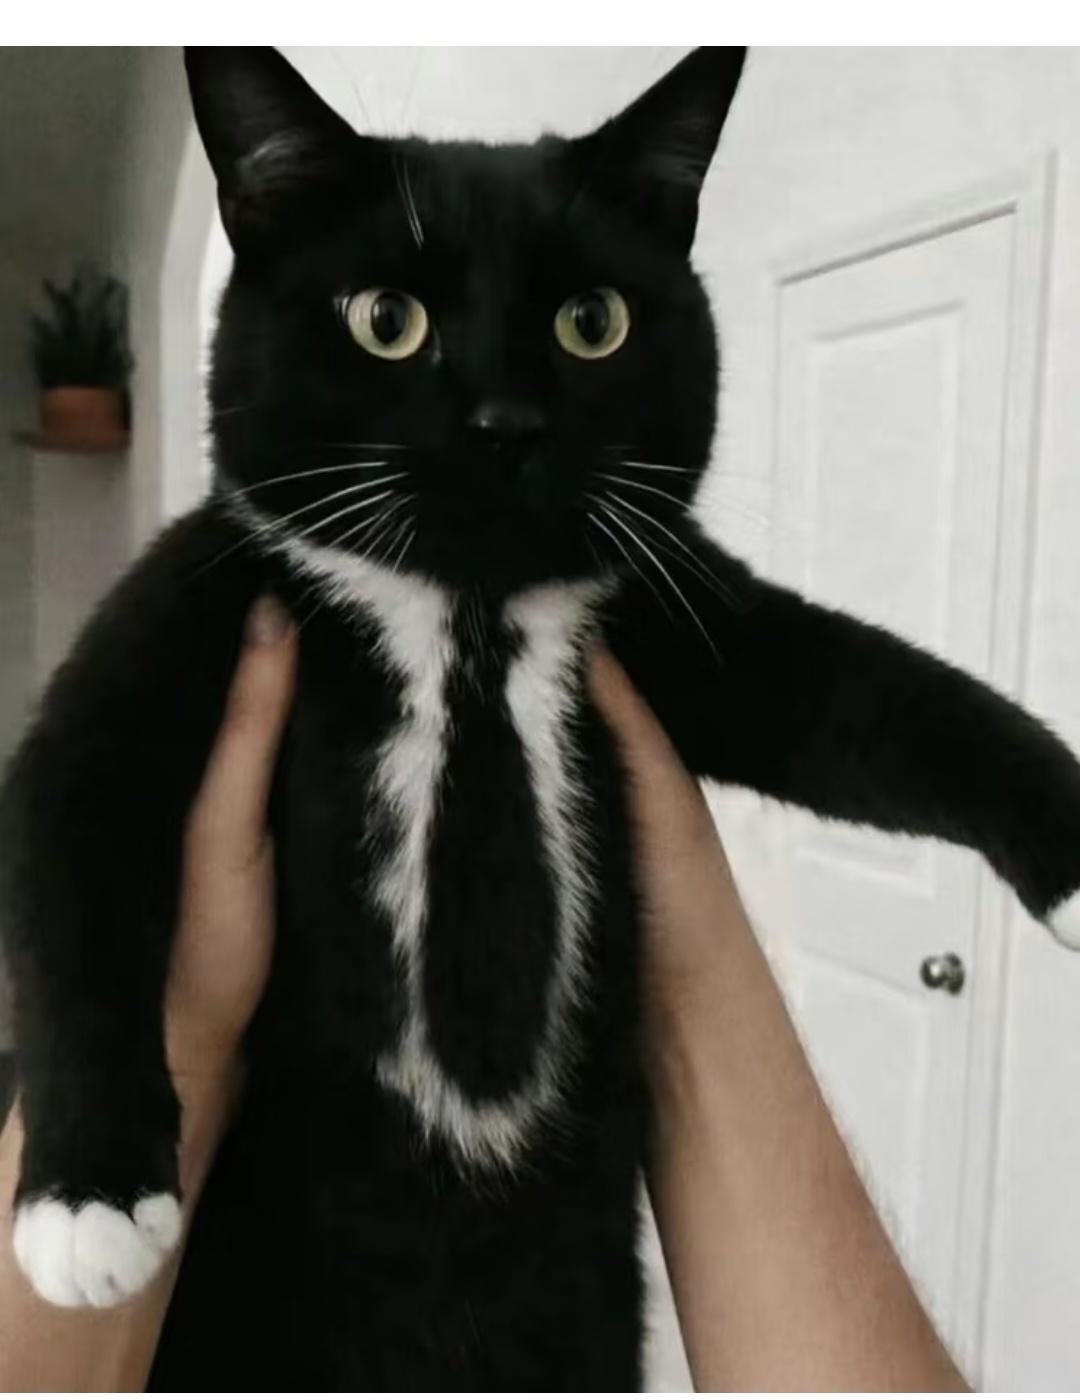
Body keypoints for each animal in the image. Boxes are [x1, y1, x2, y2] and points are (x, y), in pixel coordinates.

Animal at [2, 44, 1080, 1389]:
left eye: (593, 322)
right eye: (385, 319)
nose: (505, 423)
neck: (466, 614)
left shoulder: (681, 621)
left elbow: (884, 697)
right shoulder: (169, 626)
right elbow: (72, 868)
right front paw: (86, 1204)